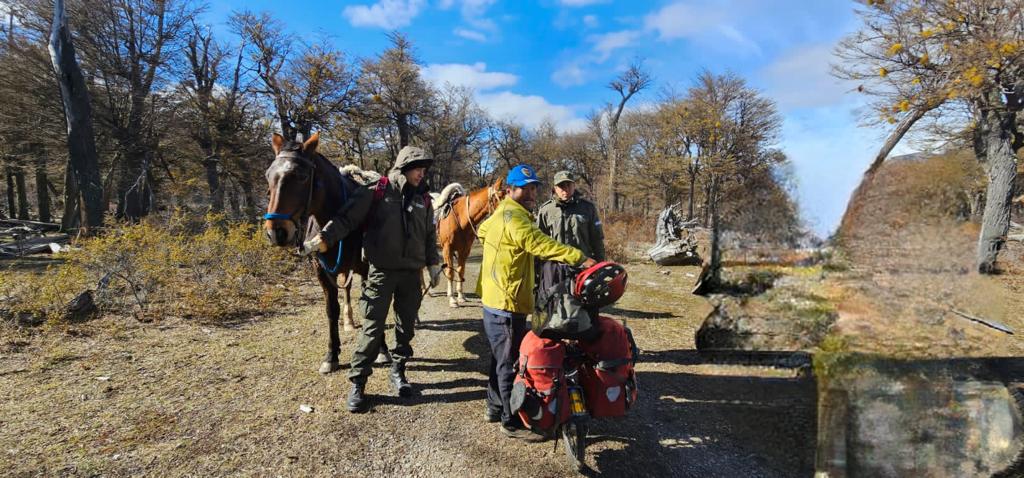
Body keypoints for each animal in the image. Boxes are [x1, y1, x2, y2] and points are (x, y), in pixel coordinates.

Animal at [262, 133, 366, 376]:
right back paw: (348, 321)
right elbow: (331, 309)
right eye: (268, 175)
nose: (276, 232)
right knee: (346, 289)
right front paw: (331, 356)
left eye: (301, 176)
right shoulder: (321, 272)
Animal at [438, 179, 505, 307]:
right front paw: (453, 300)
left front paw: (460, 296)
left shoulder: (464, 250)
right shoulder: (448, 248)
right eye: (499, 196)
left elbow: (460, 271)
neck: (460, 217)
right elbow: (450, 272)